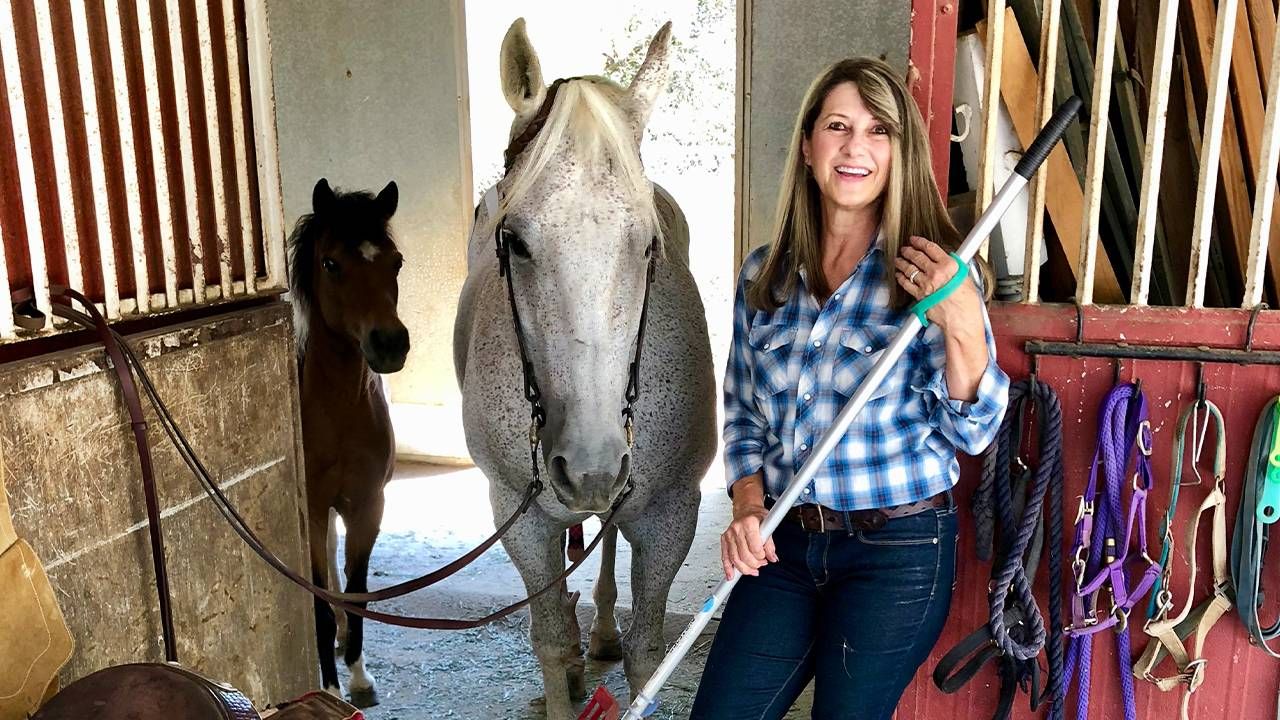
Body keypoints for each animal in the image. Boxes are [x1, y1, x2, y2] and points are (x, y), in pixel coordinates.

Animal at [458, 16, 721, 717]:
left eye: (649, 242)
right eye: (515, 239)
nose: (590, 465)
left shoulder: (669, 517)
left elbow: (648, 652)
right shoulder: (518, 518)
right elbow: (549, 639)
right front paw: (564, 677)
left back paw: (599, 632)